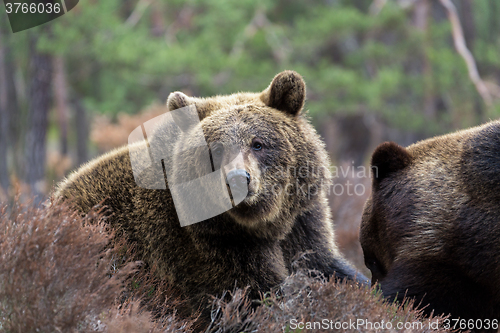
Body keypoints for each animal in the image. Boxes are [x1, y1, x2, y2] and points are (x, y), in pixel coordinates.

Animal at [55, 70, 368, 322]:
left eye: (258, 143)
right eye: (215, 149)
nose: (238, 179)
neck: (261, 224)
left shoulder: (301, 225)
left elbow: (325, 267)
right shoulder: (207, 249)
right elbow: (253, 298)